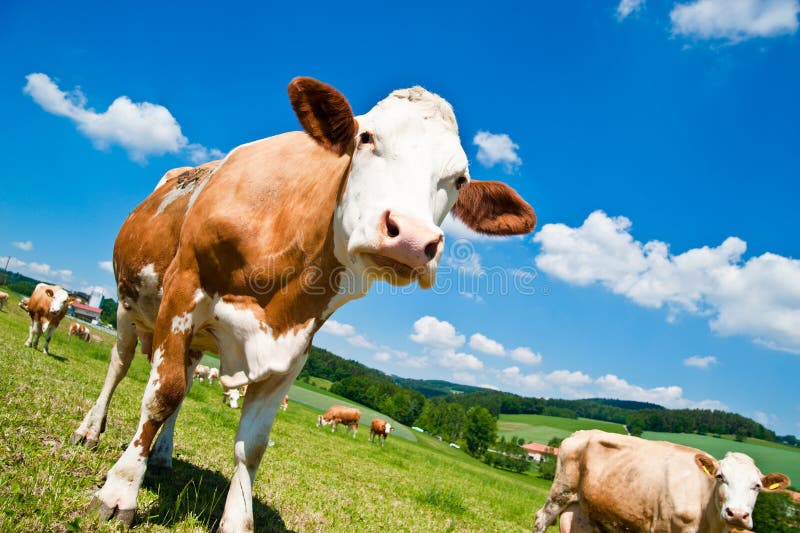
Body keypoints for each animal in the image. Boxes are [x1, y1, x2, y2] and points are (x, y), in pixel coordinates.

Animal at [73, 76, 536, 528]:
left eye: (460, 180)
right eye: (366, 137)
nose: (410, 238)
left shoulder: (296, 345)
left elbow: (252, 444)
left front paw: (236, 520)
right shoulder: (184, 291)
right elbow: (161, 395)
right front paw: (119, 491)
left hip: (193, 341)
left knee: (185, 382)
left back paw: (163, 454)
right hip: (131, 306)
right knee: (121, 364)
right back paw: (90, 431)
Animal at [536, 428, 792, 532]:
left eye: (757, 486)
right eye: (720, 477)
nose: (737, 515)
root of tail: (582, 433)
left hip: (584, 511)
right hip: (561, 491)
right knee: (541, 519)